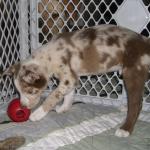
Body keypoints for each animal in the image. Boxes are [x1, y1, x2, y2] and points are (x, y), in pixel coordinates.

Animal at [1, 24, 150, 137]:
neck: (47, 57)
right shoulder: (70, 79)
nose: (23, 107)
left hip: (133, 73)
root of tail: (145, 41)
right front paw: (63, 108)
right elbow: (68, 95)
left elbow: (53, 96)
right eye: (18, 92)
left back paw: (125, 129)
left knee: (137, 104)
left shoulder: (68, 78)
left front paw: (38, 114)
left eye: (31, 91)